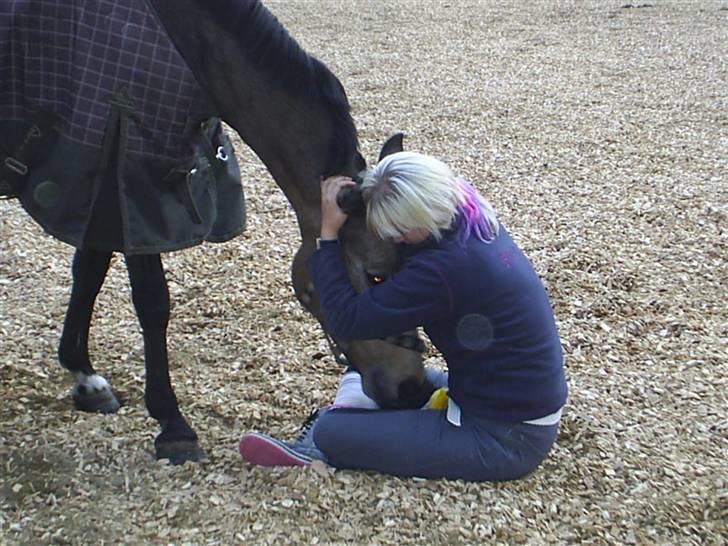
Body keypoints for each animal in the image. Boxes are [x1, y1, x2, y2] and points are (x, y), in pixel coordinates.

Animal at [0, 0, 432, 464]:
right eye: (375, 274)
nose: (414, 388)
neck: (186, 49)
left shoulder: (104, 179)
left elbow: (90, 268)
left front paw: (84, 375)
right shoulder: (133, 174)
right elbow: (151, 301)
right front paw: (172, 424)